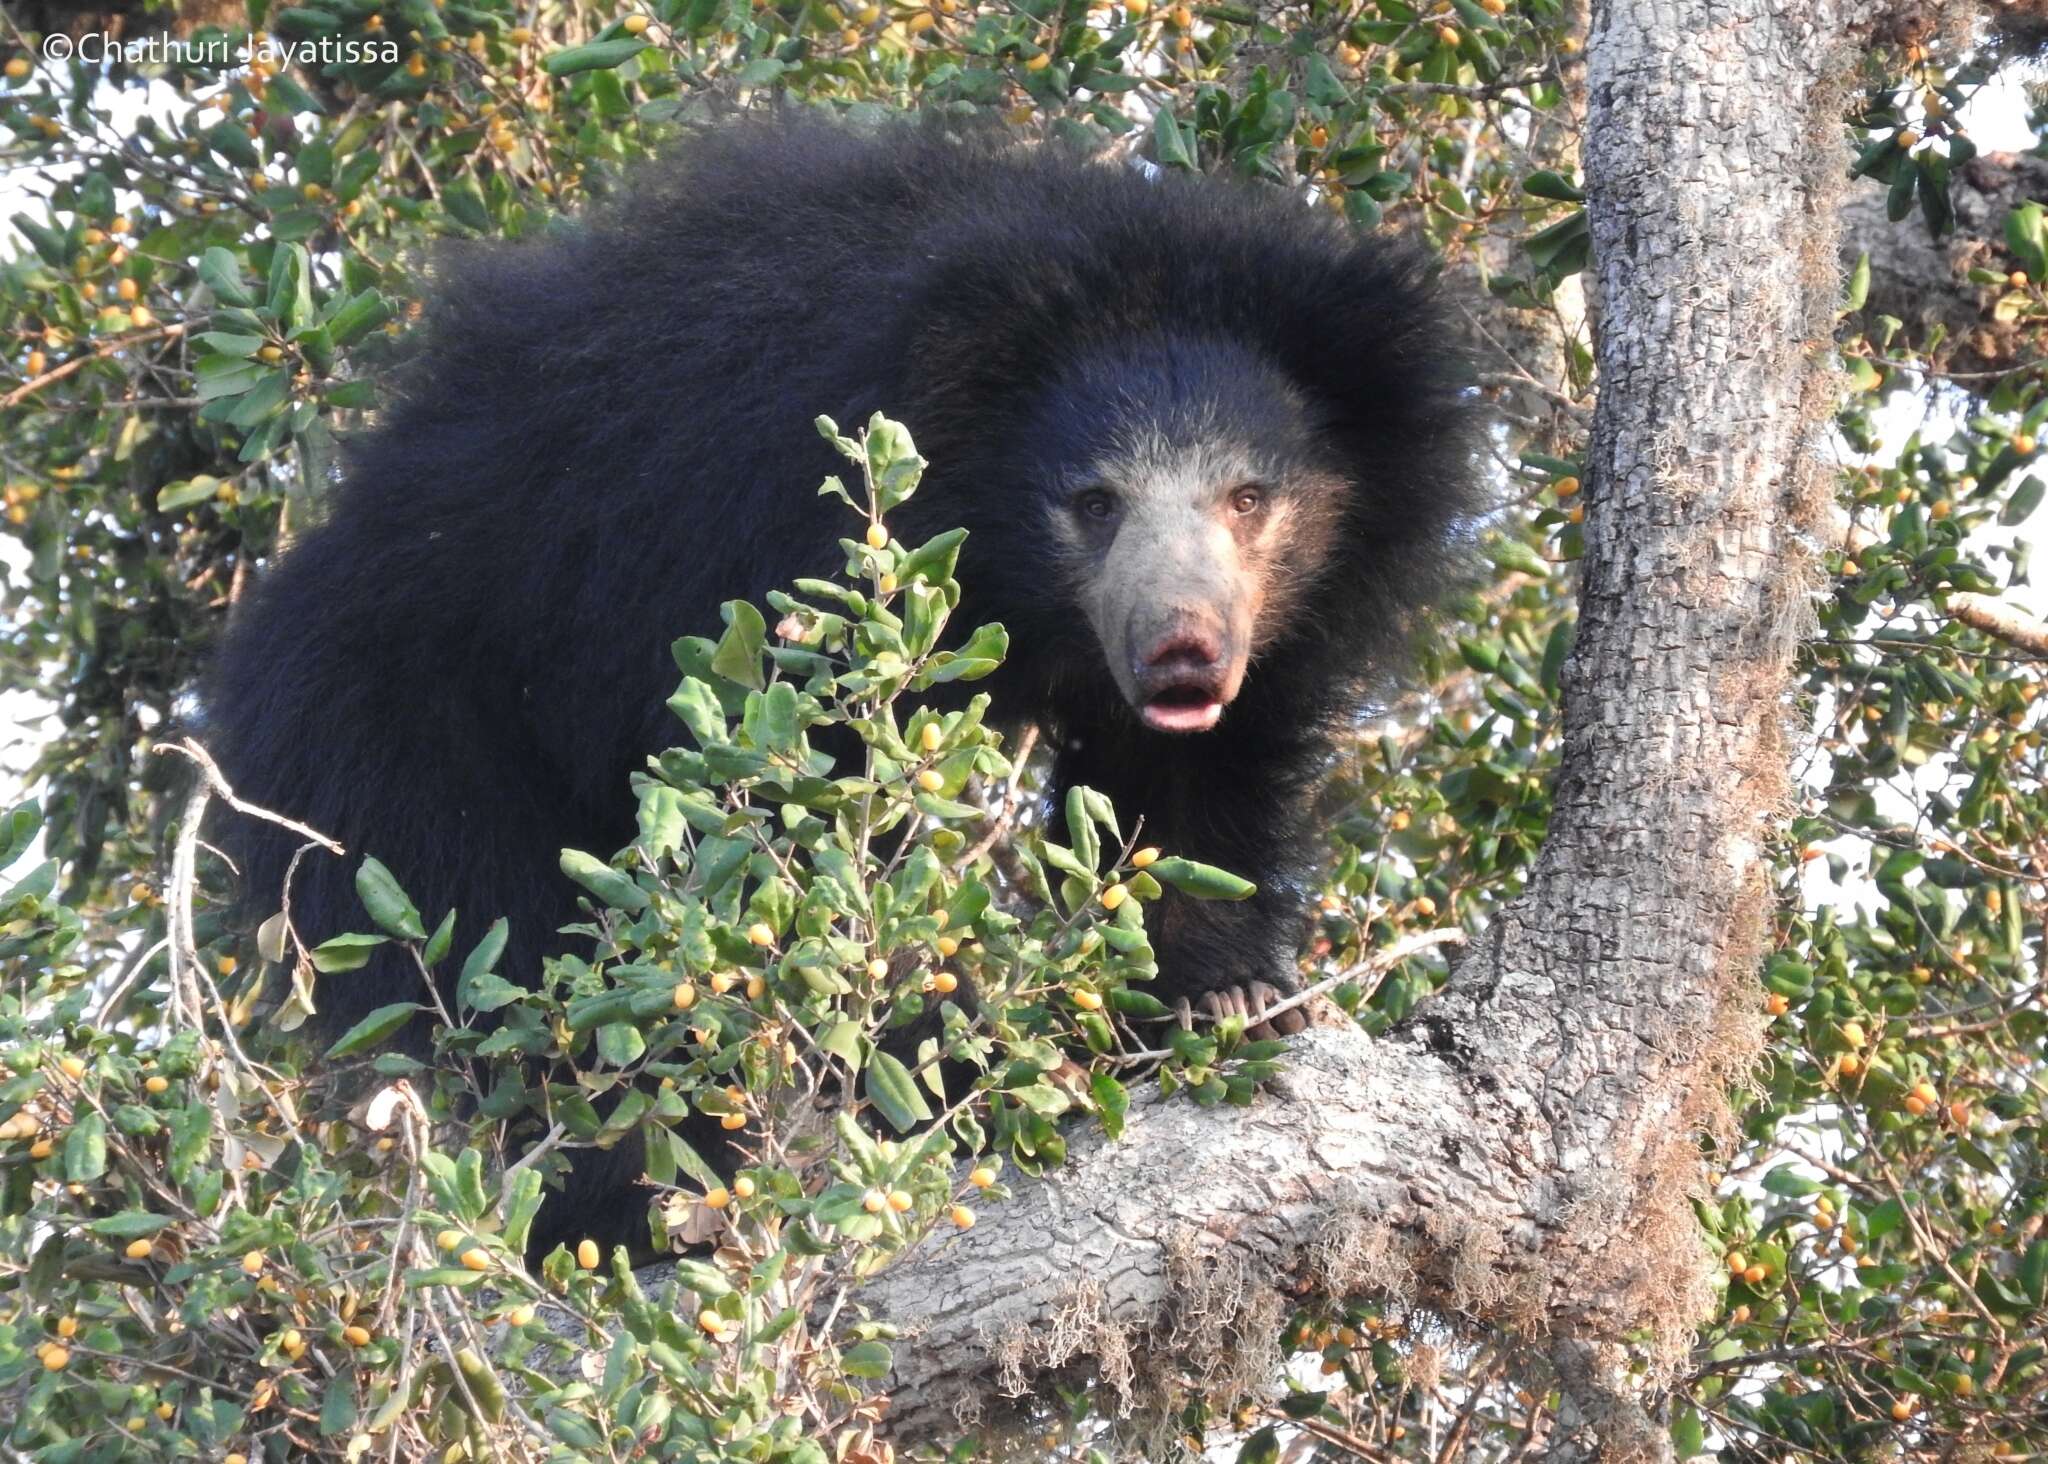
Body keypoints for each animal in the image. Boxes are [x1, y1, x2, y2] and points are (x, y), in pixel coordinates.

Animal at [207, 114, 1482, 1261]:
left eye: (1248, 497)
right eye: (1093, 502)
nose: (1182, 651)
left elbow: (1184, 794)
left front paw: (1225, 998)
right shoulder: (778, 551)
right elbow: (804, 832)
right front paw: (959, 1057)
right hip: (394, 733)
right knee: (518, 949)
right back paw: (645, 1207)